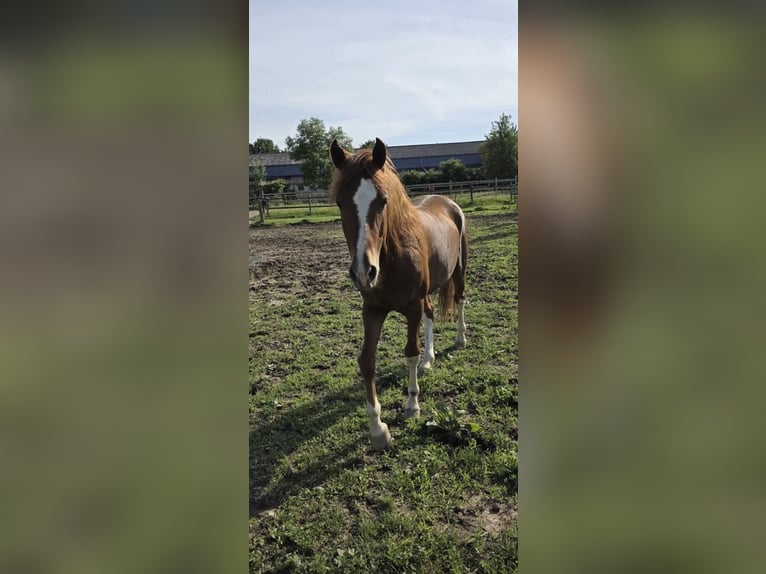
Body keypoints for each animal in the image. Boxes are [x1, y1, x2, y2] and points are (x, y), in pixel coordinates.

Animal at [329, 138, 468, 450]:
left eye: (382, 200)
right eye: (340, 202)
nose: (363, 271)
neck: (391, 257)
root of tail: (448, 202)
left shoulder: (412, 306)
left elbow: (410, 353)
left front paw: (412, 406)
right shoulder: (372, 310)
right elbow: (367, 361)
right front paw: (377, 429)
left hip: (459, 270)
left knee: (459, 301)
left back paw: (460, 339)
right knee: (431, 314)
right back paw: (430, 360)